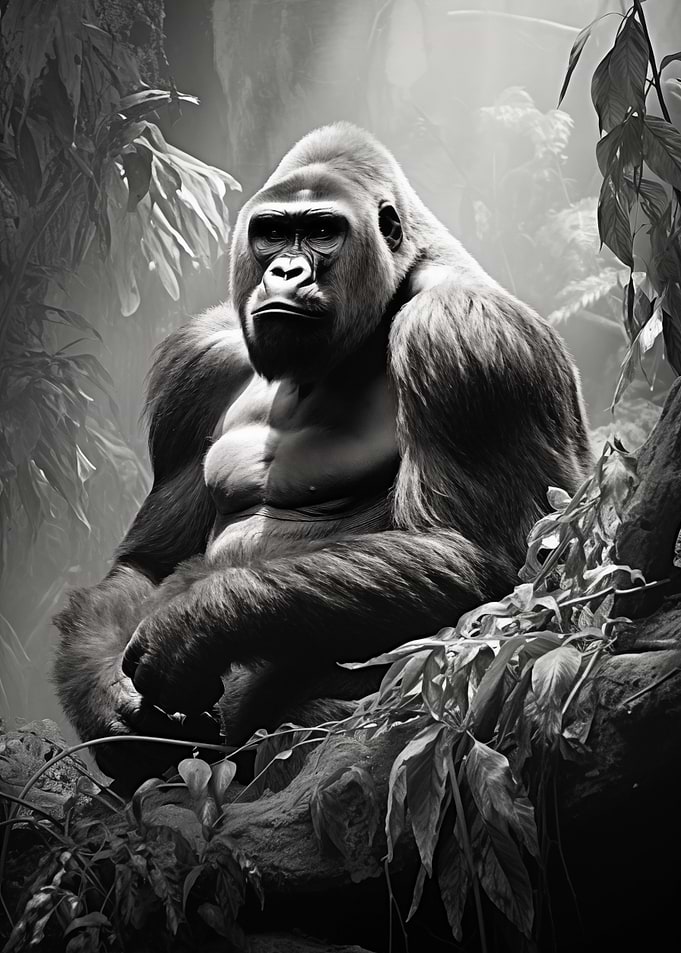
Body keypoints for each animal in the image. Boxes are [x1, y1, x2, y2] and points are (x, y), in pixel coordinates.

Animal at [54, 123, 592, 789]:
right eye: (272, 232)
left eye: (322, 231)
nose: (285, 271)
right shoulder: (202, 359)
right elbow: (149, 562)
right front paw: (113, 709)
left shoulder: (464, 335)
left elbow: (478, 557)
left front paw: (193, 625)